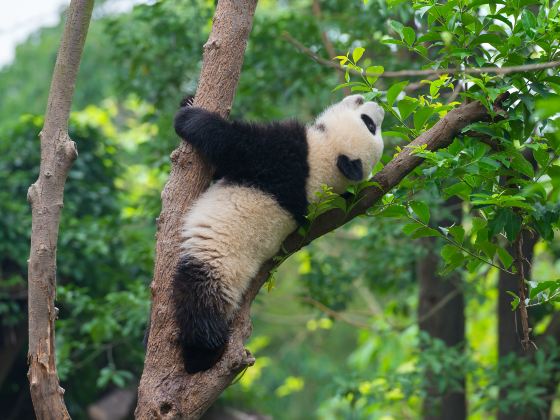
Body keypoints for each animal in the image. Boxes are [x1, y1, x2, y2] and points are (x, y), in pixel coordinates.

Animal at [173, 93, 384, 372]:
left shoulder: (286, 157)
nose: (378, 105)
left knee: (199, 299)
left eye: (369, 125)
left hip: (217, 265)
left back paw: (201, 354)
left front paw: (189, 118)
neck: (328, 162)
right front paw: (187, 101)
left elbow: (233, 145)